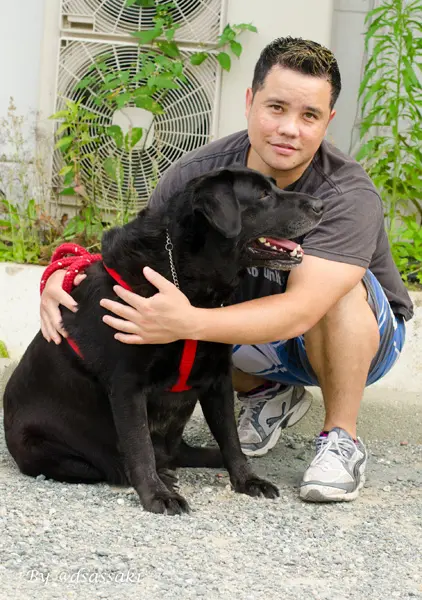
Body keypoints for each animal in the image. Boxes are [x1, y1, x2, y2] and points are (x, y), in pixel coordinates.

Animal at [2, 168, 324, 516]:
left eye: (275, 186)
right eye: (263, 195)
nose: (320, 205)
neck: (187, 286)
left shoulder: (217, 380)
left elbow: (231, 440)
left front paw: (247, 479)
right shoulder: (127, 387)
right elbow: (139, 446)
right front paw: (157, 495)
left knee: (182, 453)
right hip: (42, 449)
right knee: (109, 464)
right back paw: (153, 474)